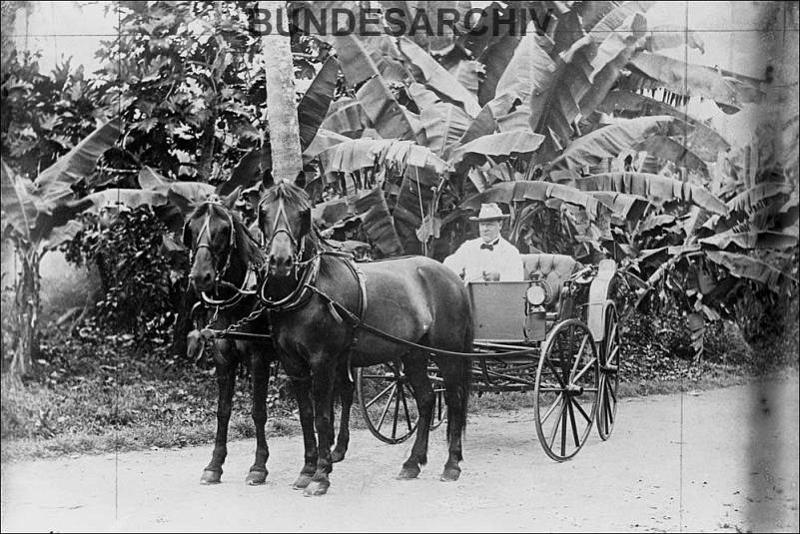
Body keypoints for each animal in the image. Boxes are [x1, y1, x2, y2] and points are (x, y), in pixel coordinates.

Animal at [186, 189, 354, 486]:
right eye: (191, 229)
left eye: (224, 229)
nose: (200, 276)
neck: (241, 299)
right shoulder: (223, 358)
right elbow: (223, 411)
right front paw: (215, 464)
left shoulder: (258, 359)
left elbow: (258, 411)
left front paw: (258, 466)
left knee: (347, 391)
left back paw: (339, 447)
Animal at [256, 183, 472, 498]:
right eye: (263, 211)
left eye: (304, 213)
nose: (281, 261)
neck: (312, 290)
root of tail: (452, 276)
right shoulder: (293, 364)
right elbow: (307, 416)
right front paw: (307, 470)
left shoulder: (323, 361)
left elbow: (323, 417)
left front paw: (321, 475)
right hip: (414, 355)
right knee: (426, 399)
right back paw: (412, 463)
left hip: (448, 353)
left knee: (454, 401)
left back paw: (452, 465)